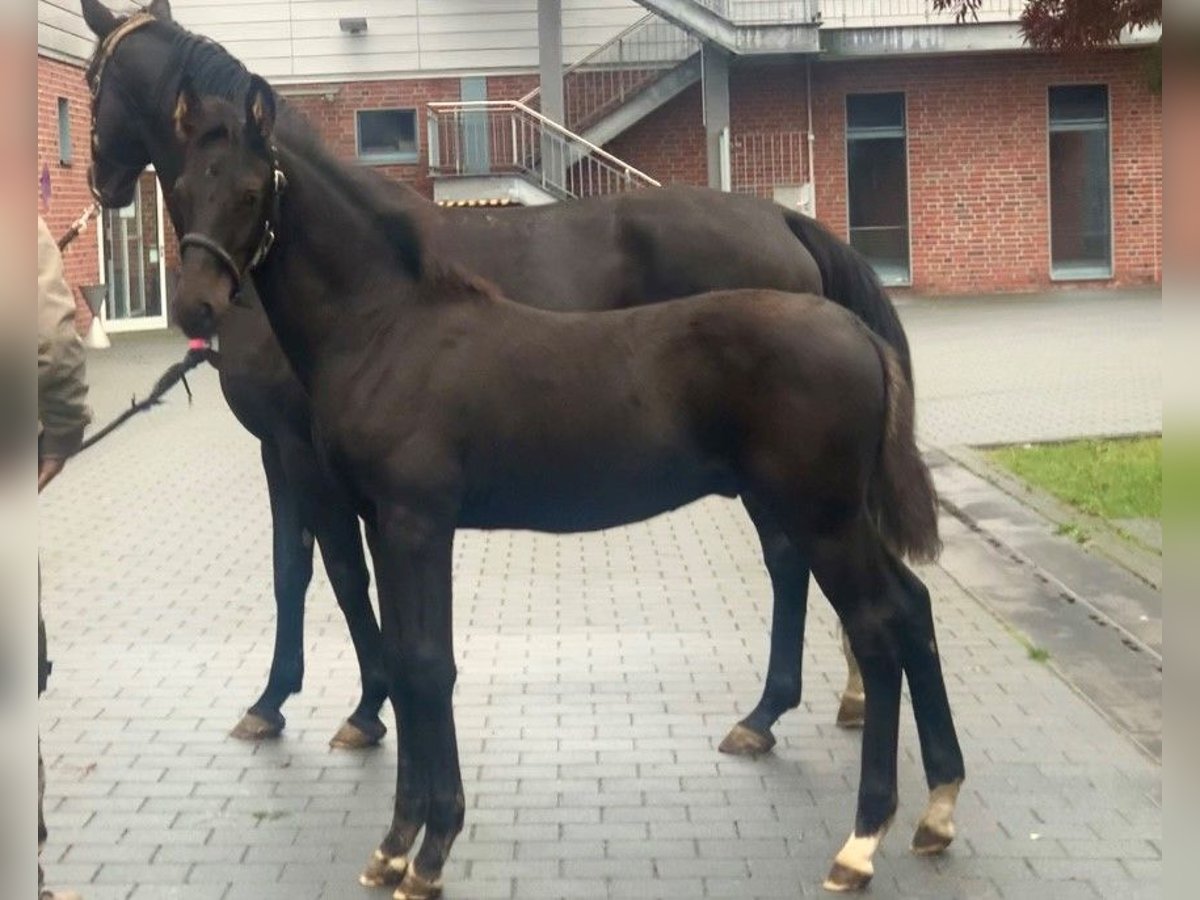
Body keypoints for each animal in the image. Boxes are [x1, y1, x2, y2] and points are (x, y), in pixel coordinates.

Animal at [82, 0, 907, 753]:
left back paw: (775, 710)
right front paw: (289, 699)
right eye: (186, 188)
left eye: (93, 81)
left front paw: (358, 706)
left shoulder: (298, 452)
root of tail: (784, 221)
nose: (100, 180)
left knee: (791, 561)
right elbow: (297, 571)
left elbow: (335, 575)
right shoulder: (286, 455)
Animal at [164, 82, 964, 897]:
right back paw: (936, 809)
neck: (387, 330)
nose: (197, 307)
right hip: (828, 516)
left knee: (877, 627)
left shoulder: (416, 521)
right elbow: (405, 659)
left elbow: (427, 663)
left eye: (251, 191)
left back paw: (860, 840)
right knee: (911, 608)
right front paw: (393, 845)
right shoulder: (383, 524)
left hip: (821, 518)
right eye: (181, 188)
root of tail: (857, 333)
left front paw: (430, 849)